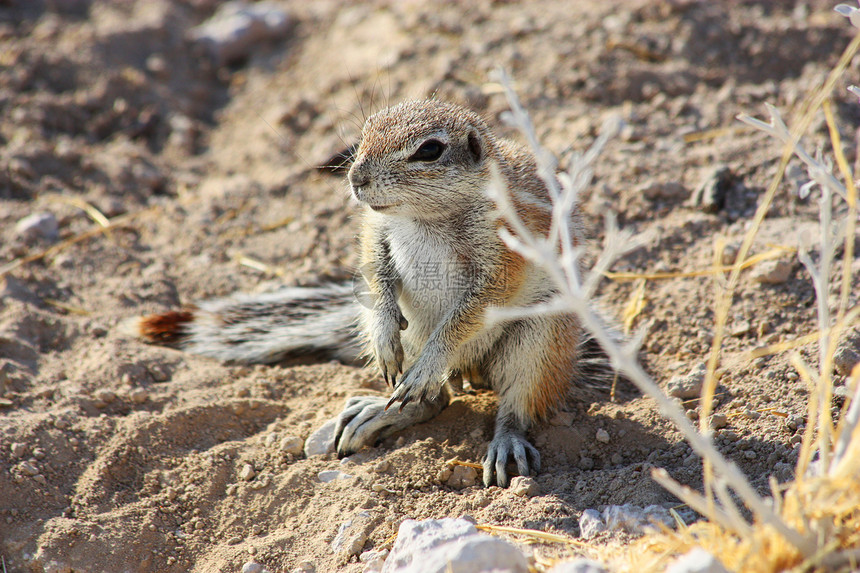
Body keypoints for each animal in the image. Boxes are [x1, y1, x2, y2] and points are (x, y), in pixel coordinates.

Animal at [134, 100, 612, 484]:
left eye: (429, 150)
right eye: (365, 131)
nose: (356, 177)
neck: (425, 217)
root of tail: (471, 371)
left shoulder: (505, 254)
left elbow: (473, 311)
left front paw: (431, 360)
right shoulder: (377, 228)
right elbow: (375, 265)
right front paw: (384, 331)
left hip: (540, 339)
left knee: (515, 404)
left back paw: (502, 441)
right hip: (407, 330)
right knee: (434, 399)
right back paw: (378, 410)